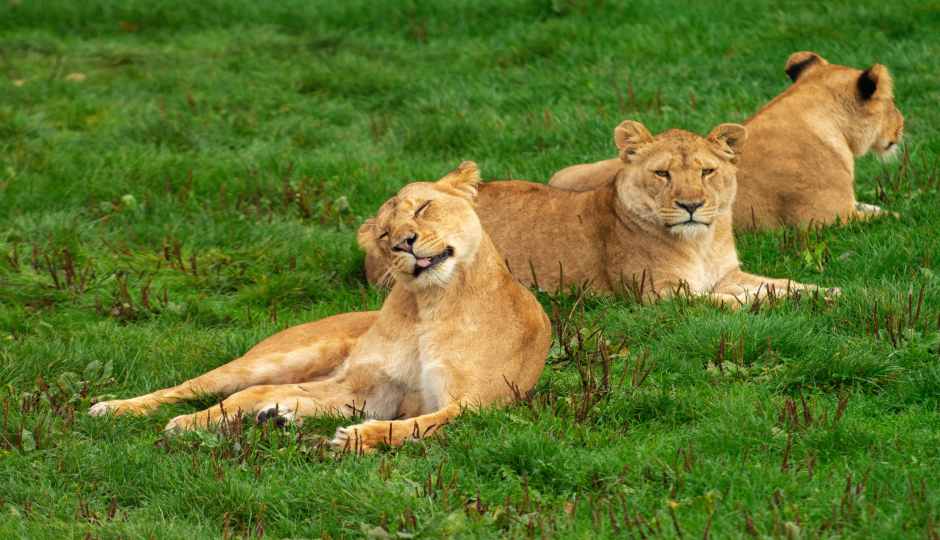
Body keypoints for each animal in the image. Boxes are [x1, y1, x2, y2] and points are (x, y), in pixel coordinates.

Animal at [90, 162, 552, 450]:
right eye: (384, 235)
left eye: (423, 207)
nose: (404, 243)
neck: (431, 305)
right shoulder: (368, 389)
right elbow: (419, 422)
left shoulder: (478, 404)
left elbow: (424, 423)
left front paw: (357, 438)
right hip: (275, 359)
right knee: (208, 388)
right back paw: (127, 411)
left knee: (264, 395)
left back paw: (272, 418)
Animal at [370, 123, 832, 308]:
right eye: (663, 174)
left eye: (706, 172)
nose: (691, 205)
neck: (701, 242)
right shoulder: (658, 295)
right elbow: (731, 302)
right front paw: (771, 305)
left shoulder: (727, 273)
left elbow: (777, 283)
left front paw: (828, 293)